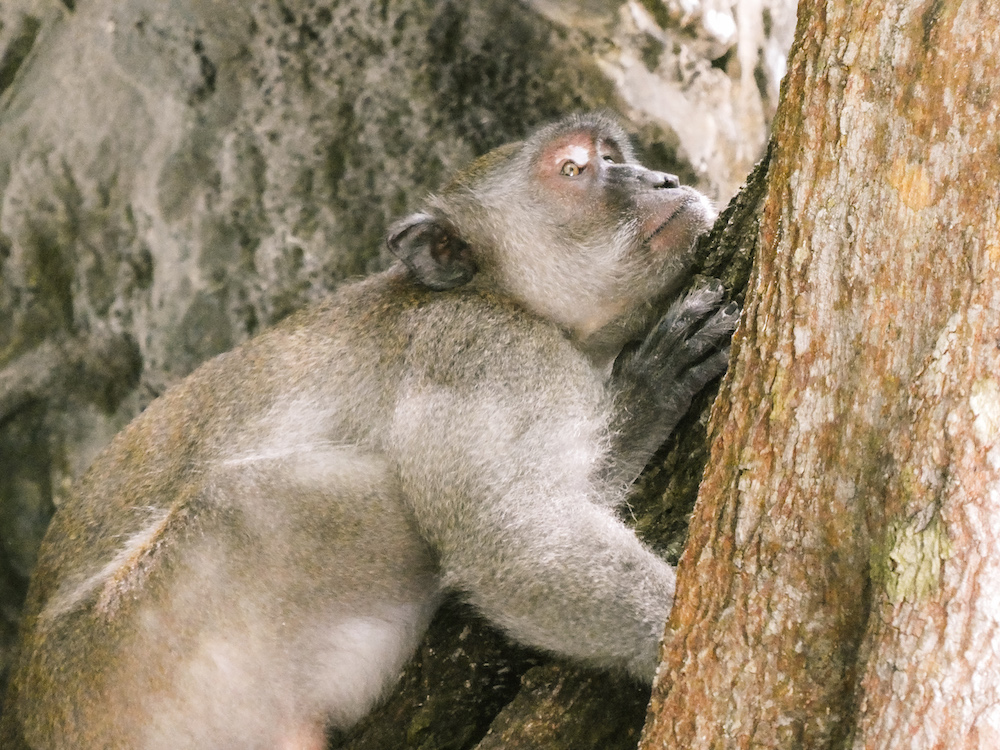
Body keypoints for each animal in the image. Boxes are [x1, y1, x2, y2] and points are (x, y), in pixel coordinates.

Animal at [0, 113, 736, 750]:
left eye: (616, 156)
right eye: (576, 168)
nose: (663, 180)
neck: (502, 296)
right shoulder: (484, 346)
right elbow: (514, 539)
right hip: (141, 650)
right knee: (259, 503)